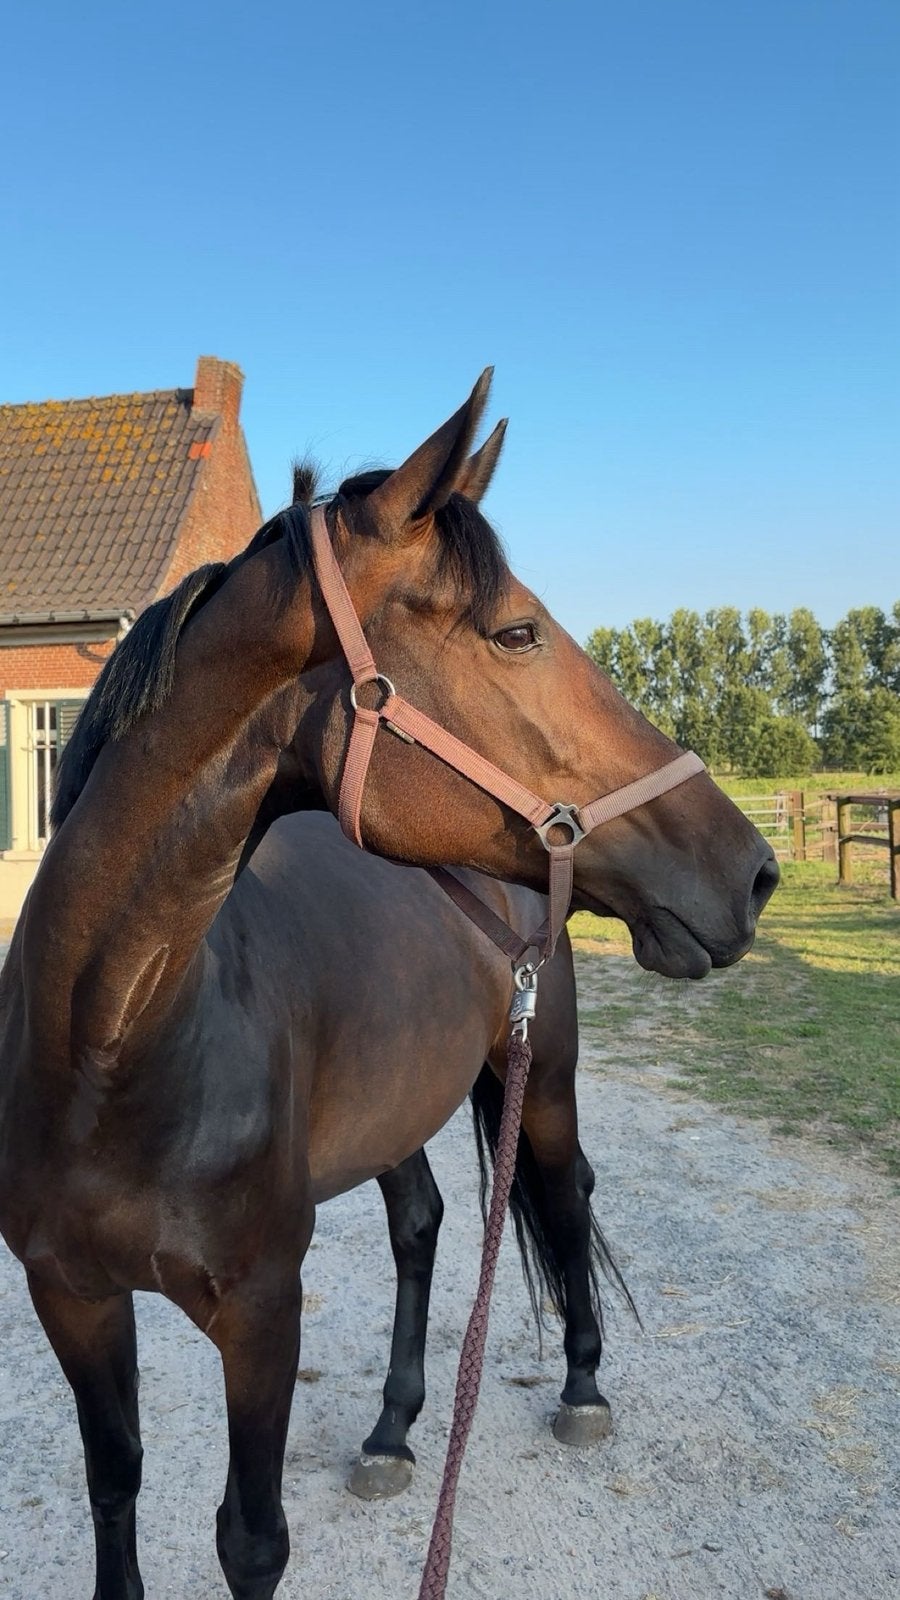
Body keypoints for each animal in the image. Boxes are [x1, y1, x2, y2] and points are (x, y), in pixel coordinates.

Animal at [0, 371, 777, 1600]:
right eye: (516, 631)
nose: (750, 869)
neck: (111, 1044)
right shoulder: (68, 1294)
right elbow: (113, 1487)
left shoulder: (262, 1310)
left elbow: (250, 1536)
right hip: (398, 1103)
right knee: (421, 1221)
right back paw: (395, 1430)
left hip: (544, 1080)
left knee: (567, 1192)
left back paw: (583, 1386)